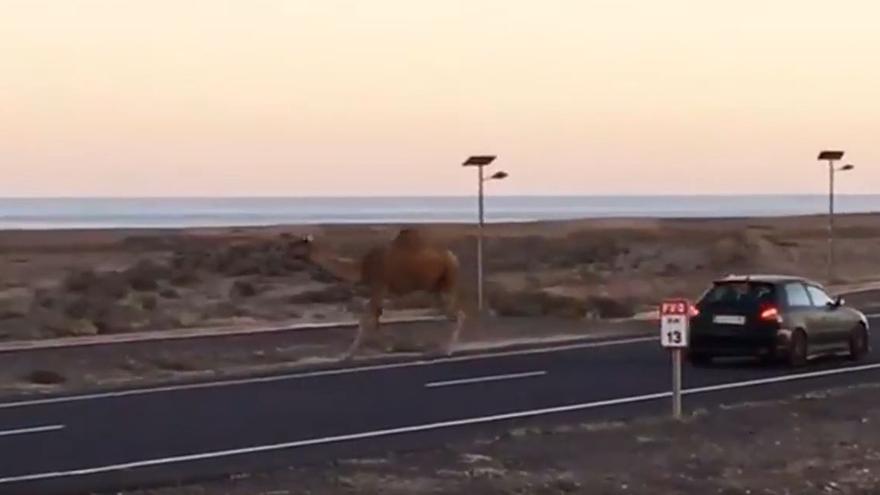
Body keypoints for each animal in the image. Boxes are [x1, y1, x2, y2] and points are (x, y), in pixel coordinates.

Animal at [294, 229, 464, 360]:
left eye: (297, 242)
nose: (290, 251)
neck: (362, 267)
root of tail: (453, 258)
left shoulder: (378, 287)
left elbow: (367, 319)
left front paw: (348, 354)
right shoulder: (380, 291)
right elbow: (375, 318)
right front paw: (389, 347)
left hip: (448, 280)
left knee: (458, 314)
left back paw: (447, 350)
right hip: (436, 288)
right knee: (452, 314)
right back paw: (441, 348)